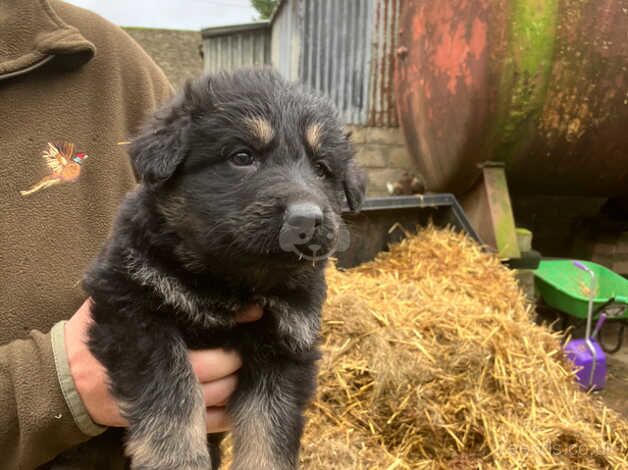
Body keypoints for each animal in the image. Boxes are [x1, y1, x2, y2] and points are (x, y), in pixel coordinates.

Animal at [79, 68, 364, 468]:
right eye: (242, 156)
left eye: (323, 169)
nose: (307, 219)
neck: (228, 281)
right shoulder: (129, 307)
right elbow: (172, 388)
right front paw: (177, 459)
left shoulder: (286, 343)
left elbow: (269, 431)